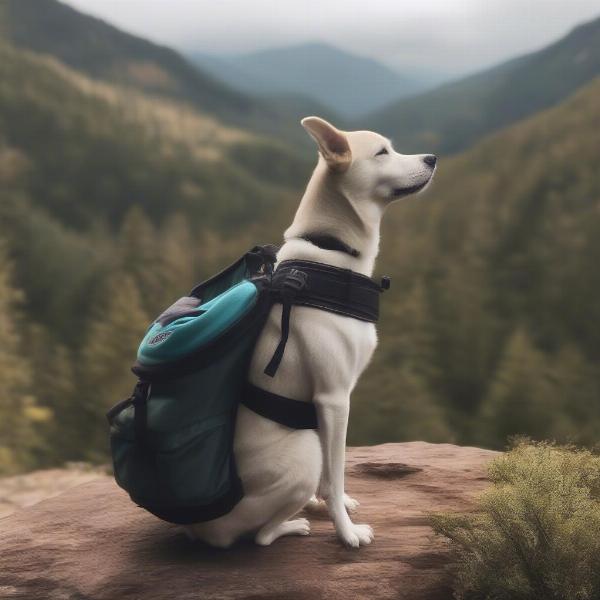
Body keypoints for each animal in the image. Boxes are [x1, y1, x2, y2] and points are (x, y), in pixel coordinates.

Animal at [188, 116, 436, 548]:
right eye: (382, 152)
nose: (433, 158)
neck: (331, 248)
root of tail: (203, 531)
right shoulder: (334, 400)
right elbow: (336, 473)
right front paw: (346, 531)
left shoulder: (326, 408)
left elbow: (334, 479)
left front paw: (337, 506)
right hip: (304, 452)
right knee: (260, 536)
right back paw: (292, 524)